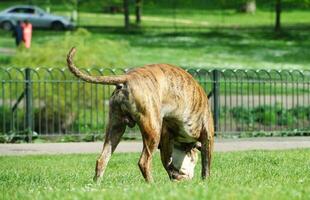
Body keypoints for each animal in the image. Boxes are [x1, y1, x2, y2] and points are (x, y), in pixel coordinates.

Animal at [66, 47, 214, 182]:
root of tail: (127, 78)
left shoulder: (166, 139)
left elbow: (167, 162)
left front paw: (175, 174)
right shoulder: (207, 136)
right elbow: (206, 164)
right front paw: (205, 181)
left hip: (115, 127)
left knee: (102, 159)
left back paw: (96, 184)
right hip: (152, 129)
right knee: (144, 162)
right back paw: (151, 184)